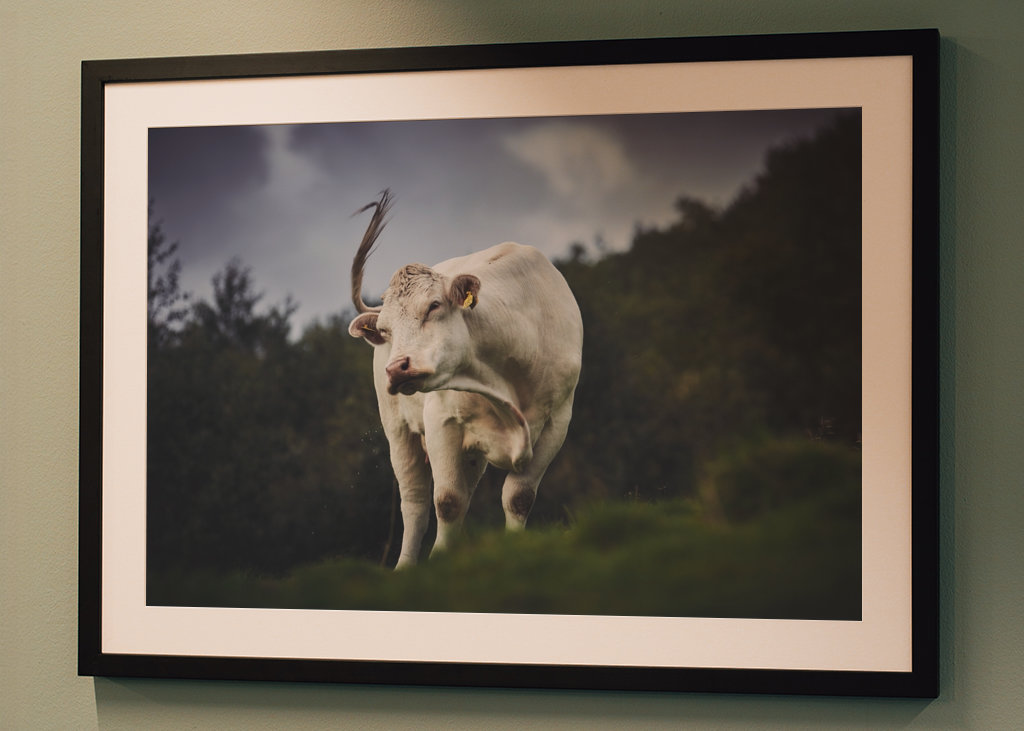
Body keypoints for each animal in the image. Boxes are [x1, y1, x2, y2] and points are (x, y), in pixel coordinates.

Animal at [347, 190, 584, 568]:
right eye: (385, 330)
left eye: (433, 306)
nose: (397, 368)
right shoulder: (441, 421)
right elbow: (447, 501)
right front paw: (439, 561)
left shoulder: (557, 421)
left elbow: (518, 496)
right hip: (398, 430)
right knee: (415, 503)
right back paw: (405, 567)